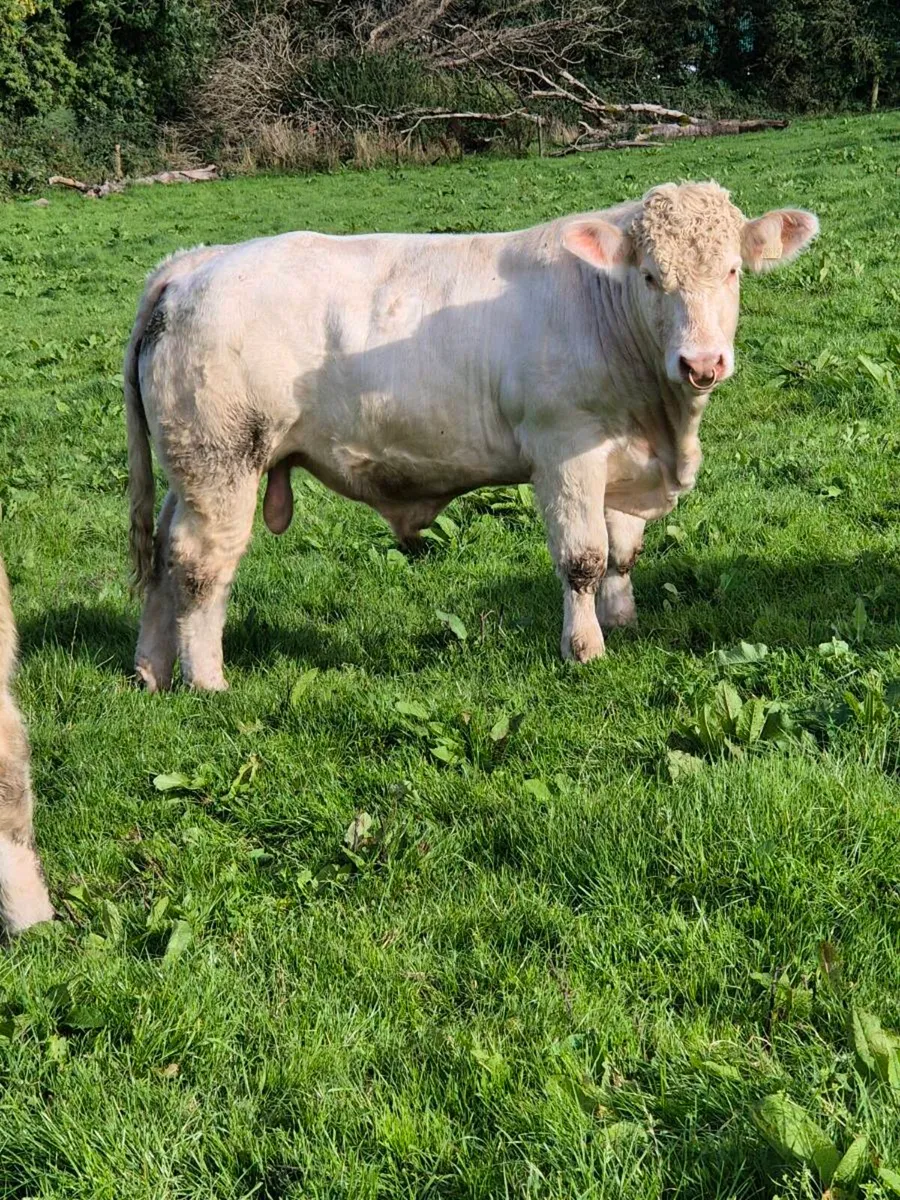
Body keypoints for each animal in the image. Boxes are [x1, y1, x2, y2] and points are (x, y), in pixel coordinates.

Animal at [124, 182, 818, 691]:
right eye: (650, 276)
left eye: (733, 270)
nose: (701, 363)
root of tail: (196, 263)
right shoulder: (565, 449)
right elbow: (584, 558)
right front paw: (585, 649)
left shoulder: (624, 460)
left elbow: (622, 552)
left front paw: (622, 623)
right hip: (222, 461)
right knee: (200, 566)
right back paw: (207, 682)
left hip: (189, 466)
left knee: (164, 558)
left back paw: (151, 671)